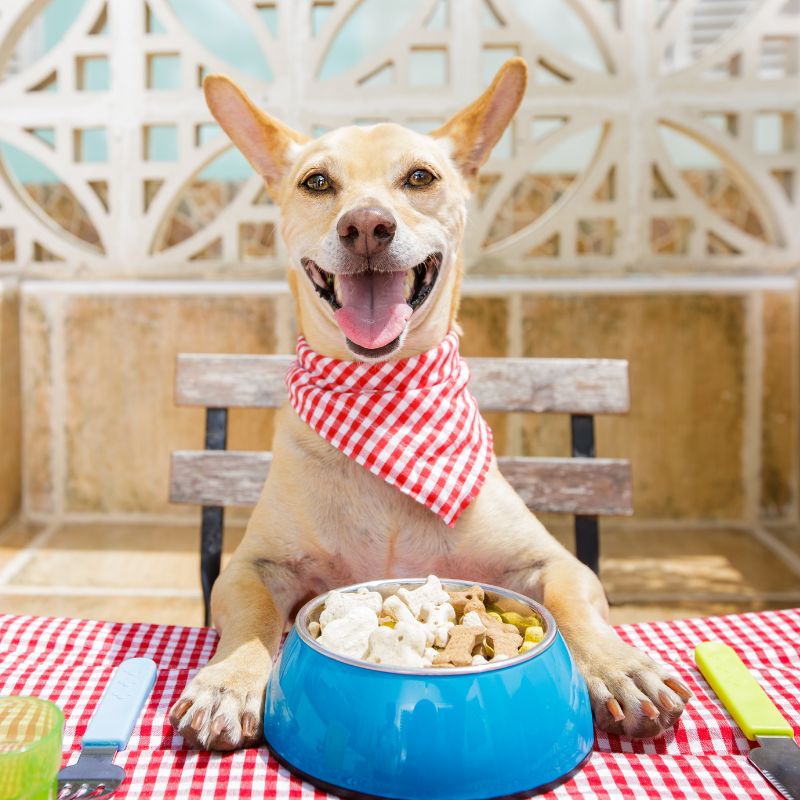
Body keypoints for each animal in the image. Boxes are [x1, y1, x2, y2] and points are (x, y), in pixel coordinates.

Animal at [170, 61, 692, 752]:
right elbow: (253, 615)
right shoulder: (252, 567)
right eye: (317, 182)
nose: (366, 226)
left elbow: (574, 605)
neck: (384, 403)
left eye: (420, 177)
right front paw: (229, 680)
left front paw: (619, 666)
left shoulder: (554, 562)